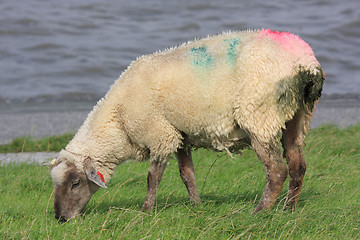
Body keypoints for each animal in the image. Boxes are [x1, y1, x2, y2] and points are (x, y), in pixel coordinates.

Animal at [46, 29, 324, 221]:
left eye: (75, 183)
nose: (61, 218)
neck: (118, 120)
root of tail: (305, 63)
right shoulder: (179, 134)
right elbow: (186, 174)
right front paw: (196, 205)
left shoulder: (160, 134)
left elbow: (153, 177)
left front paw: (146, 211)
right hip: (297, 116)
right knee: (298, 165)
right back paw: (288, 209)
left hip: (259, 116)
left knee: (277, 170)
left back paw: (260, 212)